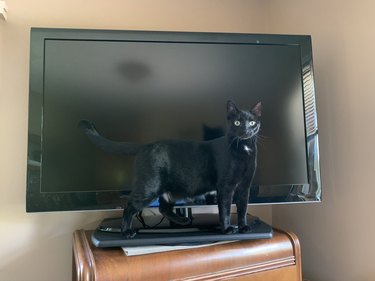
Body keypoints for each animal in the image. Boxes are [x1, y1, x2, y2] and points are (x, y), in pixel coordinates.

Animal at [79, 100, 262, 236]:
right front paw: (227, 229)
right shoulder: (225, 187)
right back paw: (126, 232)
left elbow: (242, 208)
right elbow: (225, 209)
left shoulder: (245, 187)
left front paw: (243, 227)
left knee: (163, 207)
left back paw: (183, 221)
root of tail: (146, 145)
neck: (244, 150)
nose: (246, 130)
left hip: (170, 189)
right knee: (129, 206)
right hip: (149, 187)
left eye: (252, 122)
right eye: (237, 122)